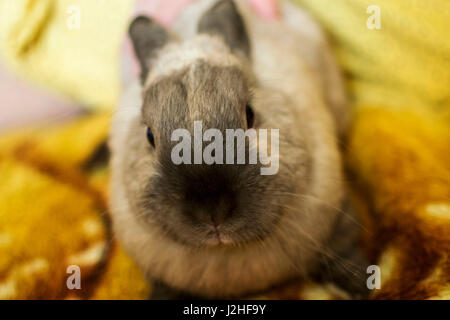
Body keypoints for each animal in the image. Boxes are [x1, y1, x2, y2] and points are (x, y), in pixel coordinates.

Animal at [110, 0, 370, 300]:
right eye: (150, 136)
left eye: (250, 114)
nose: (213, 211)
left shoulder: (335, 212)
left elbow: (343, 249)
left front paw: (363, 285)